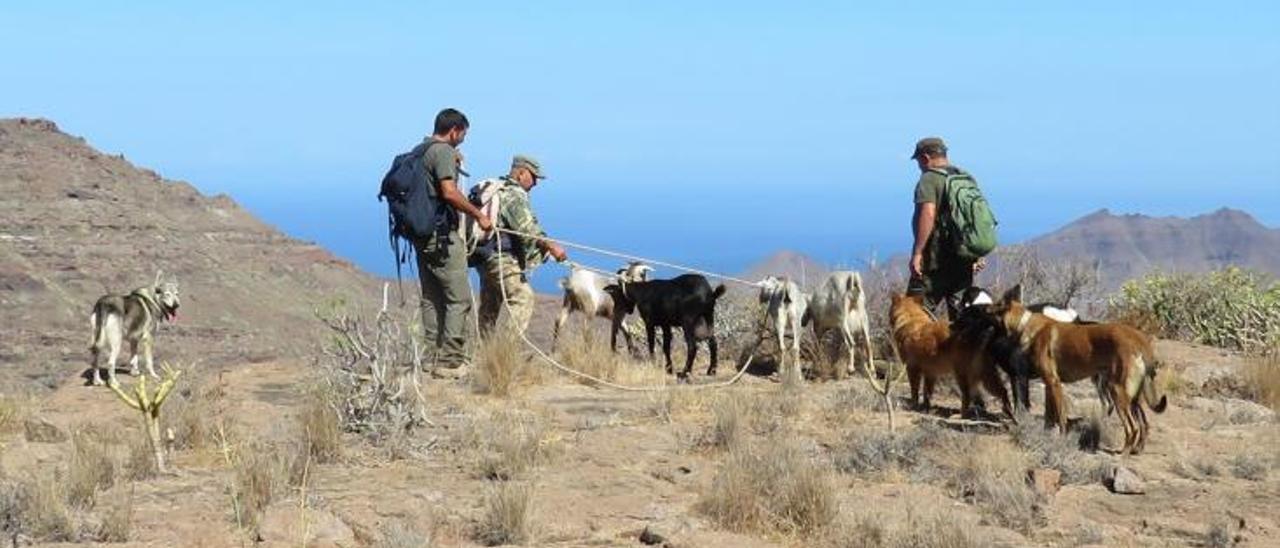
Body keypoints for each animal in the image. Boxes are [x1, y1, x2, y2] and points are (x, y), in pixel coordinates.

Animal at [885, 295, 1013, 419]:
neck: (911, 319)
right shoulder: (930, 373)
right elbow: (927, 393)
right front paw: (926, 408)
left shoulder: (912, 369)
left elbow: (914, 391)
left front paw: (914, 406)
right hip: (986, 375)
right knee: (1003, 391)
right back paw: (1008, 413)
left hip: (962, 373)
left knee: (967, 395)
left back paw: (961, 415)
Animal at [977, 286, 1172, 453]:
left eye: (992, 308)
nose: (980, 310)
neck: (1024, 324)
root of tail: (1139, 339)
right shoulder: (1049, 384)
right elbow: (1049, 415)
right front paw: (1047, 434)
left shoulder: (1051, 383)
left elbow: (1061, 416)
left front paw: (1062, 438)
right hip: (1131, 396)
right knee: (1142, 423)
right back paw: (1135, 450)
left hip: (1116, 391)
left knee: (1133, 427)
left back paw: (1122, 453)